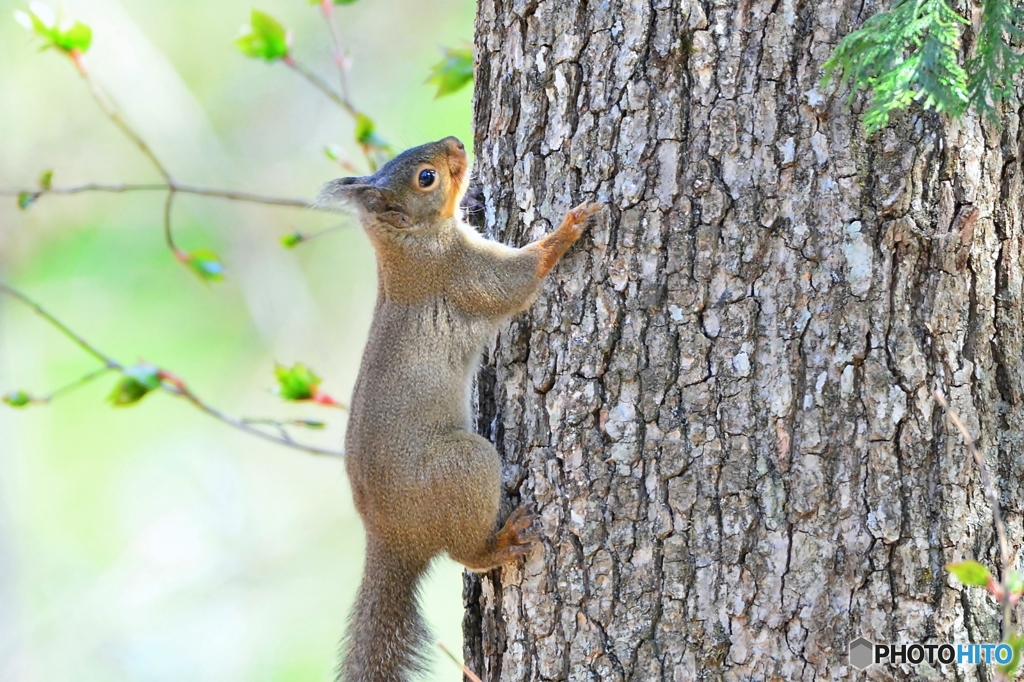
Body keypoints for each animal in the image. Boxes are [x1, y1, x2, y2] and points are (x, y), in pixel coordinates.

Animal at [319, 137, 602, 679]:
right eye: (426, 178)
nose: (455, 143)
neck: (408, 247)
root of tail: (392, 537)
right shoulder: (463, 274)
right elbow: (519, 278)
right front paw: (569, 227)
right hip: (462, 465)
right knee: (464, 554)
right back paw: (502, 542)